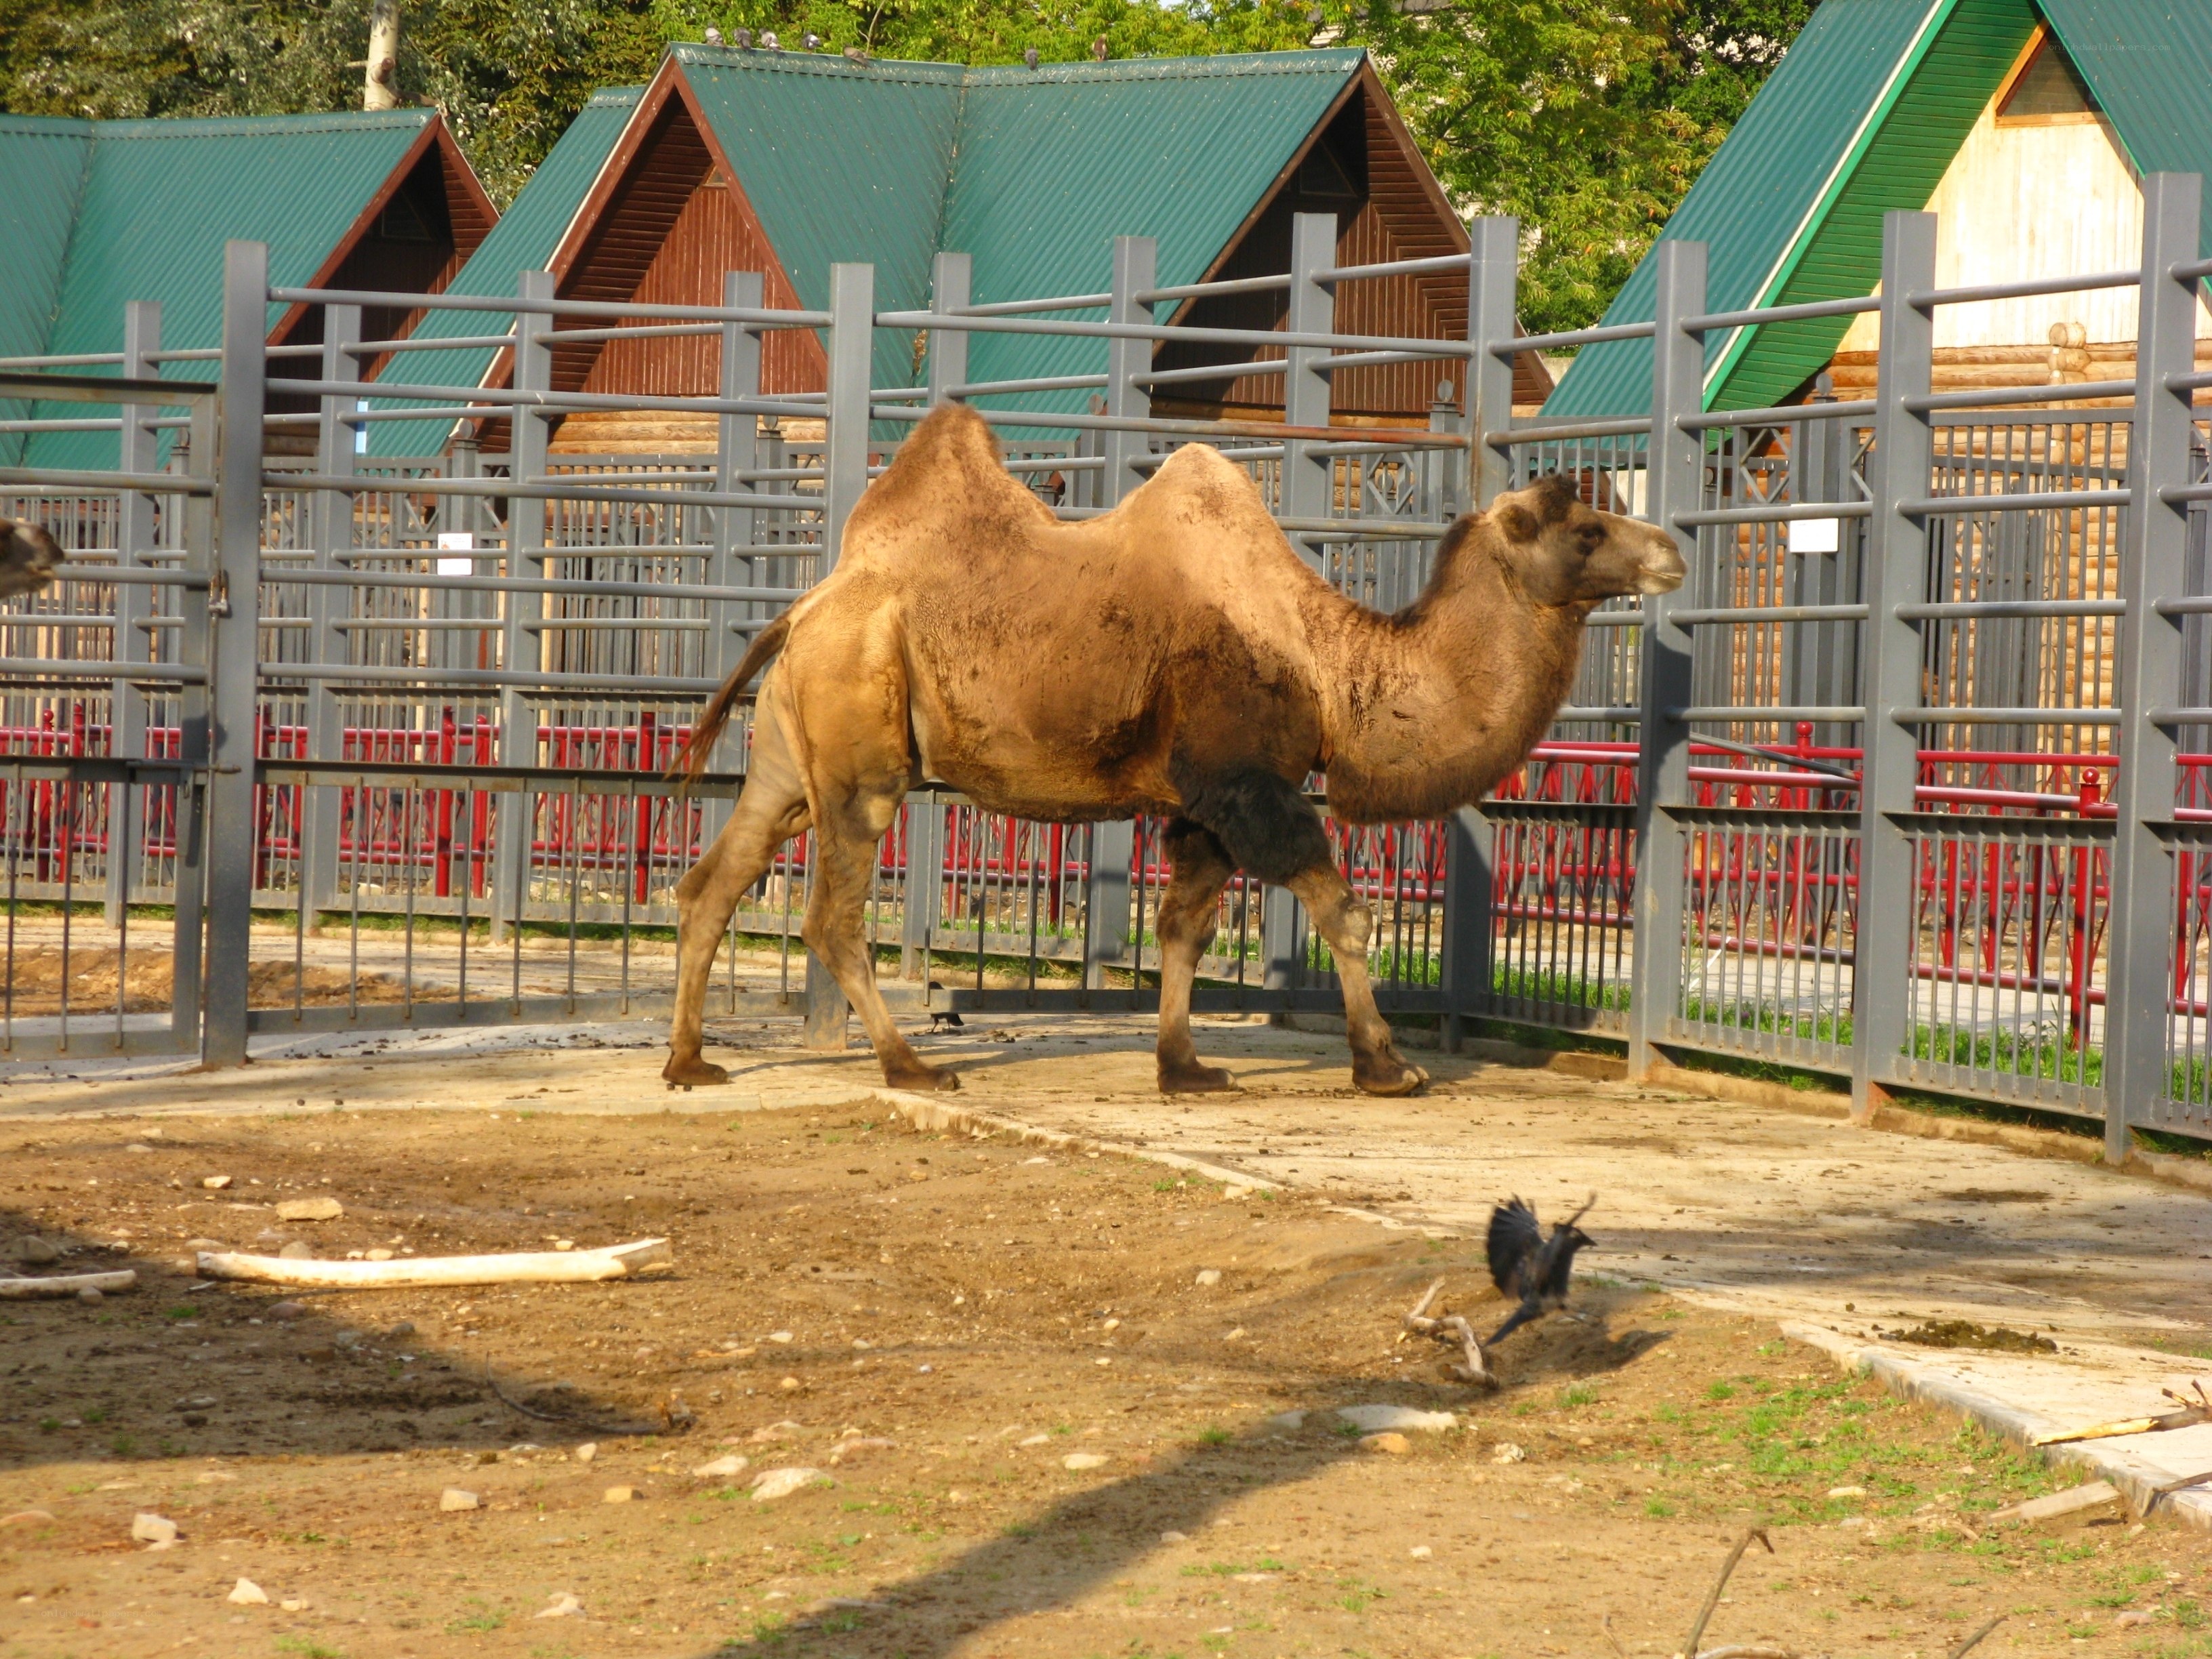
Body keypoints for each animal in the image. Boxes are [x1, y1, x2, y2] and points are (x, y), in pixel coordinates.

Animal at [664, 404, 1683, 1096]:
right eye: (1585, 528)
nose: (1670, 548)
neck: (1328, 665)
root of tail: (803, 608)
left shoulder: (1202, 807)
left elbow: (1183, 928)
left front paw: (1184, 1065)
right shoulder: (1247, 783)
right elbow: (1344, 910)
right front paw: (1386, 1065)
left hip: (789, 755)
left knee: (714, 880)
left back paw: (690, 1061)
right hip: (861, 755)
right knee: (831, 917)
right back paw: (912, 1065)